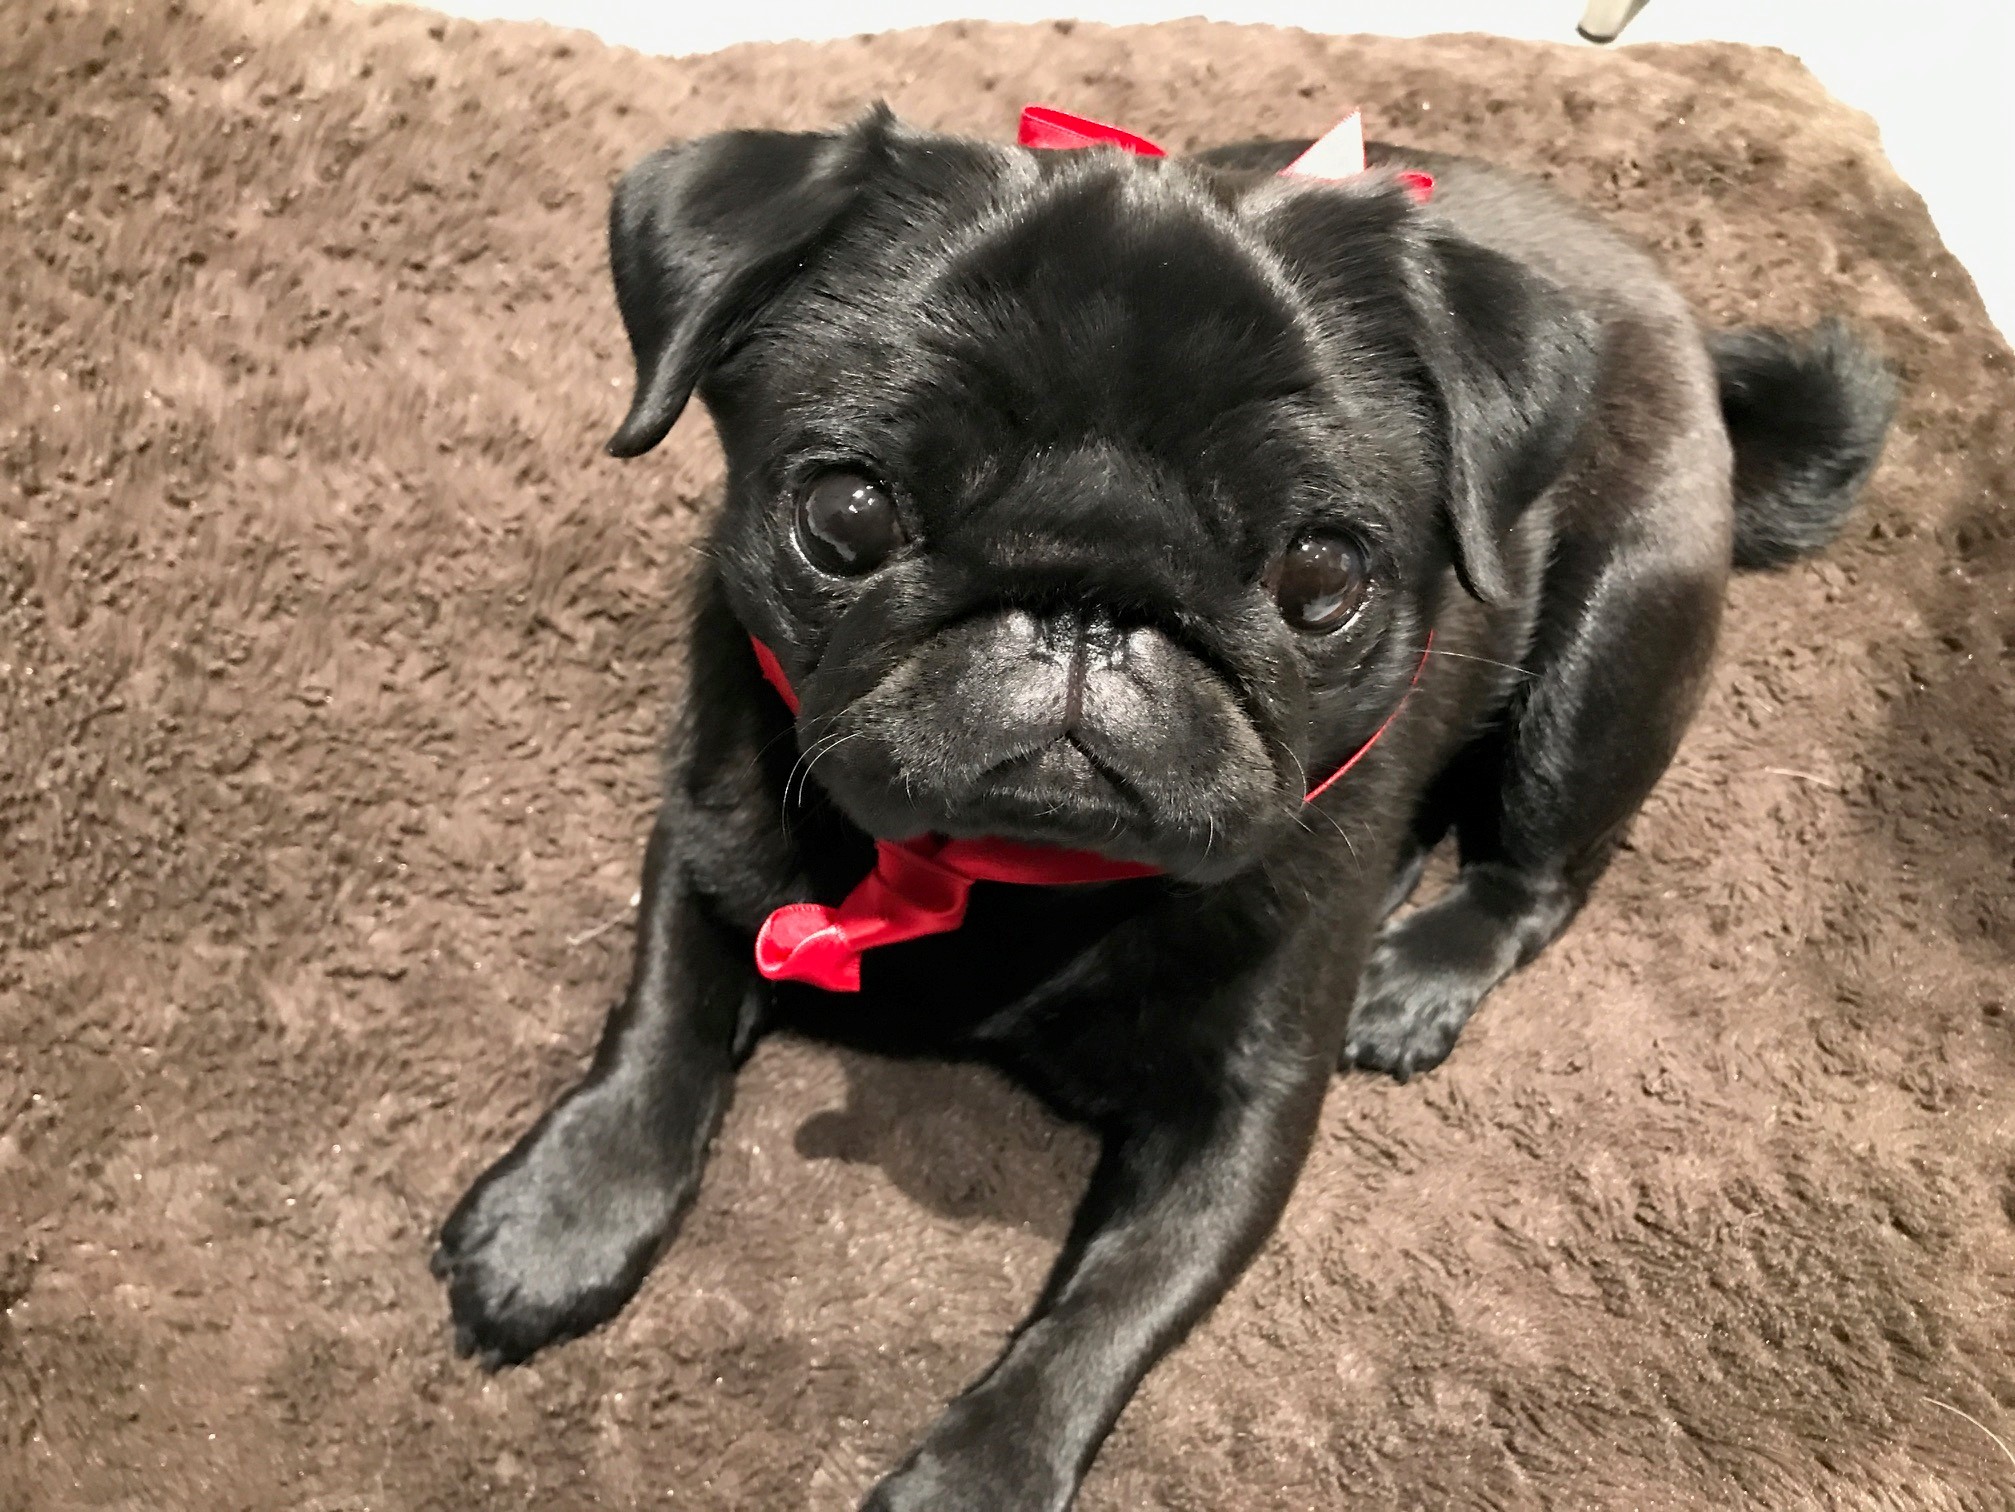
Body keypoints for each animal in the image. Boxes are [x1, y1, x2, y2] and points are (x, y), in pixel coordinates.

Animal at [429, 105, 1896, 1510]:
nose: (1087, 599)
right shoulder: (714, 833)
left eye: (1318, 574)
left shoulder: (1237, 1125)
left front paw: (977, 1480)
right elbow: (659, 1024)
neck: (1012, 877)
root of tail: (1684, 328)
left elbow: (1109, 1314)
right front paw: (563, 1212)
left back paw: (1416, 971)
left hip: (1602, 658)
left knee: (1543, 871)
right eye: (846, 512)